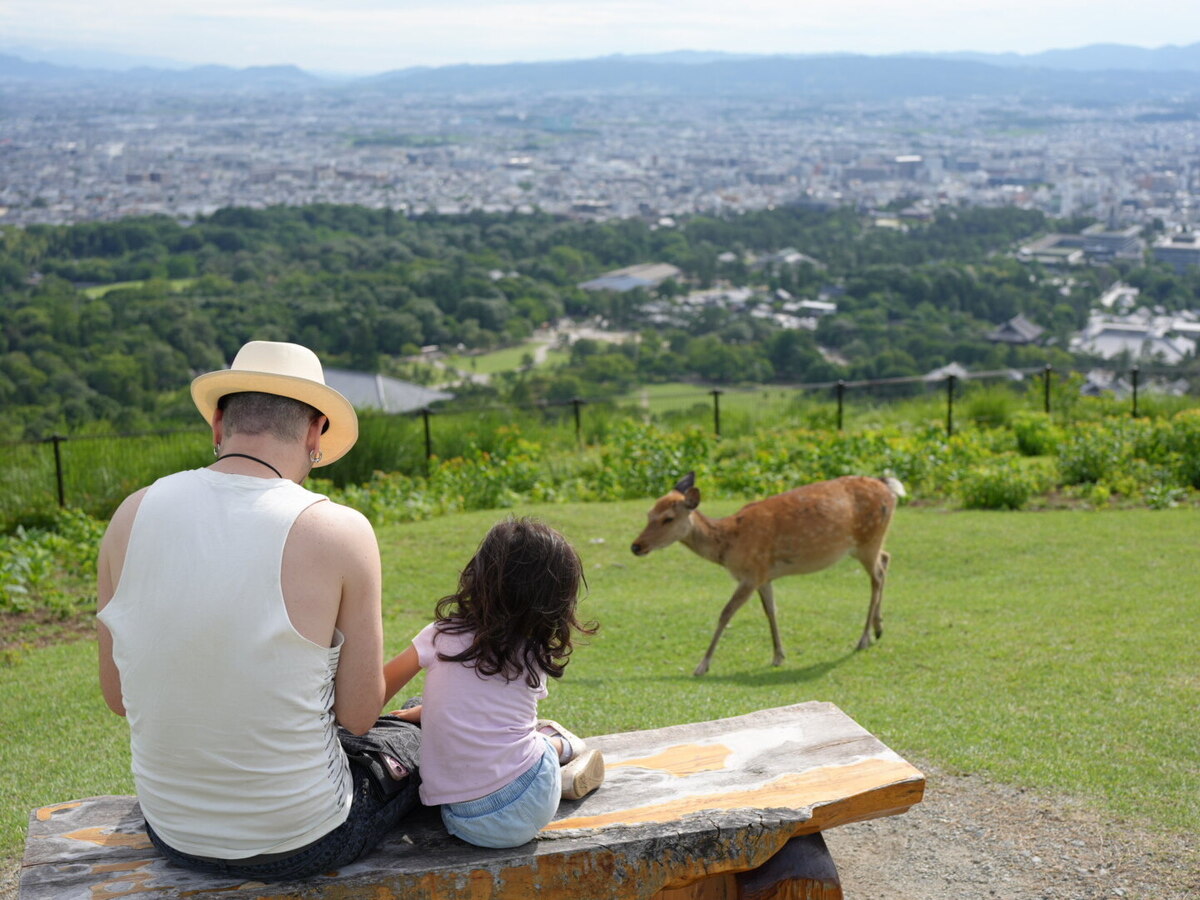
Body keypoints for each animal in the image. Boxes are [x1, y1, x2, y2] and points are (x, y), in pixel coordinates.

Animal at [633, 472, 902, 676]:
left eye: (668, 518)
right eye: (648, 514)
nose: (636, 546)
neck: (728, 546)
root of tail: (889, 487)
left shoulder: (751, 573)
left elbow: (726, 613)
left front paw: (702, 666)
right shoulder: (764, 575)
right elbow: (771, 610)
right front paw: (778, 656)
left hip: (868, 540)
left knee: (877, 576)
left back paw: (864, 639)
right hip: (869, 543)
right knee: (886, 558)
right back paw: (879, 628)